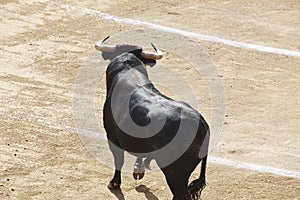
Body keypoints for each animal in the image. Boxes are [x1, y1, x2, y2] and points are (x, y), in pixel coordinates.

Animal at [97, 38, 210, 200]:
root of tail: (201, 124)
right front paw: (138, 168)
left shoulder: (111, 136)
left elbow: (119, 159)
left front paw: (114, 182)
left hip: (175, 172)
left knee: (180, 194)